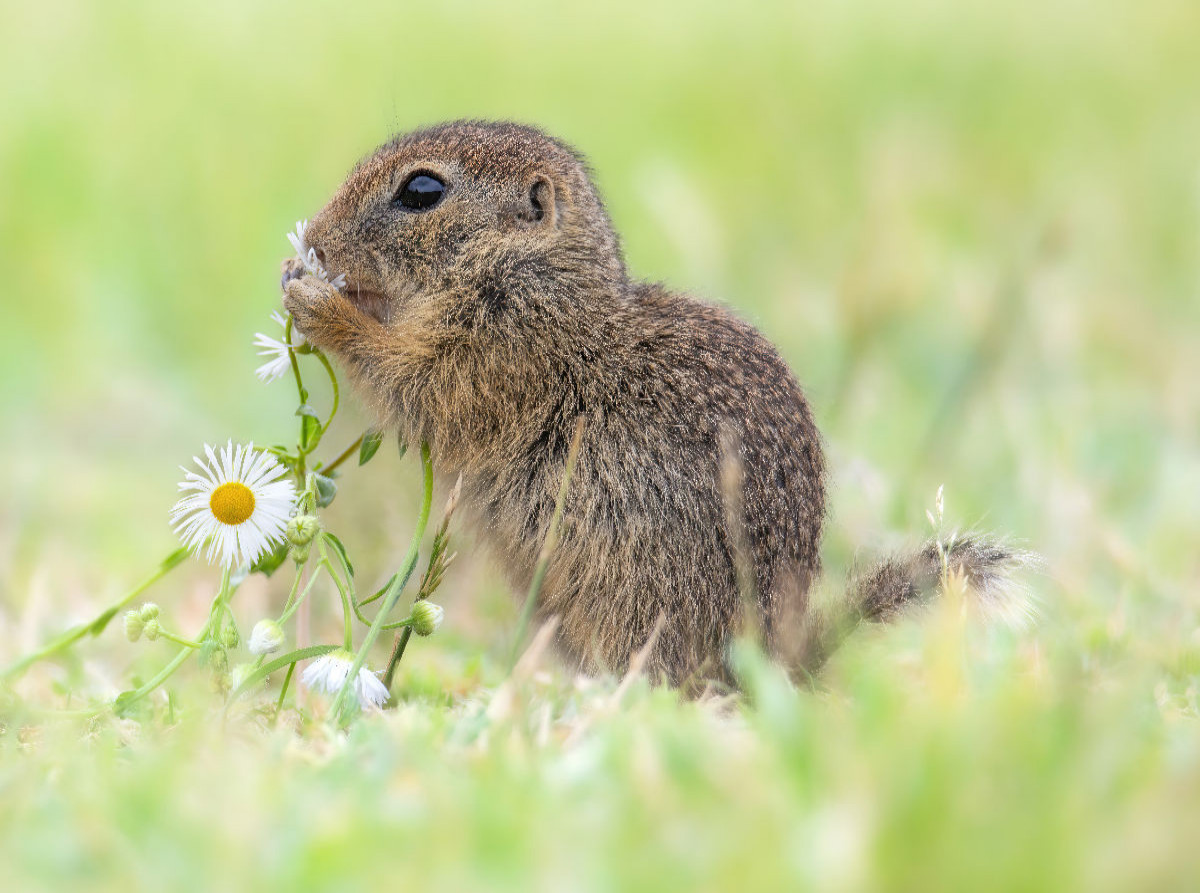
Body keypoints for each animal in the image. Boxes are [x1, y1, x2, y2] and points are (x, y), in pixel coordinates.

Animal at [283, 121, 1032, 686]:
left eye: (422, 190)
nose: (313, 236)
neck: (539, 276)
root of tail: (772, 669)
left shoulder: (499, 349)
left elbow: (416, 383)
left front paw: (317, 302)